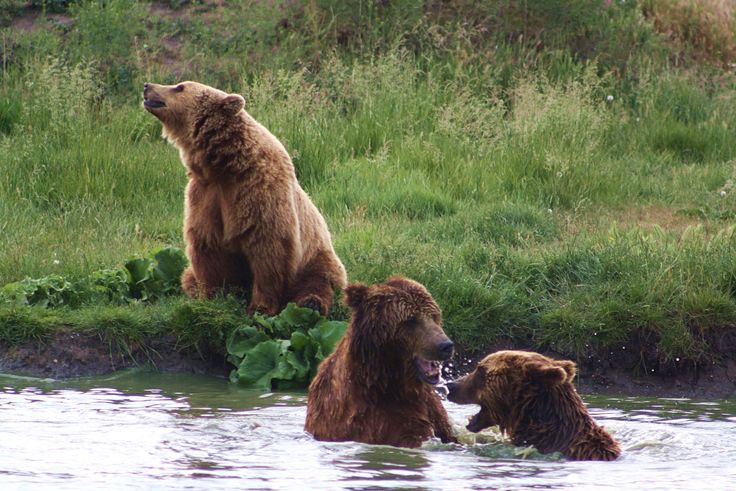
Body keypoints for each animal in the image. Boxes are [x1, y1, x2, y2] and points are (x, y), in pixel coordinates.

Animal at [143, 81, 347, 316]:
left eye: (180, 87)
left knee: (318, 283)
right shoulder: (205, 194)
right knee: (186, 276)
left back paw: (310, 303)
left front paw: (259, 308)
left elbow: (268, 249)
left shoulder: (259, 191)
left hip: (318, 259)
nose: (147, 85)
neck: (225, 165)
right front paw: (212, 298)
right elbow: (208, 245)